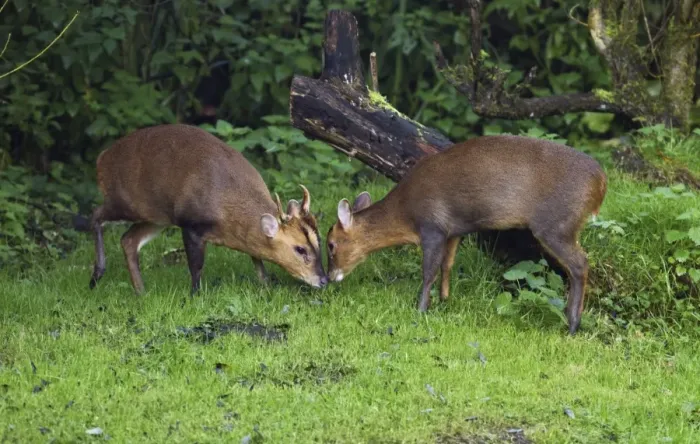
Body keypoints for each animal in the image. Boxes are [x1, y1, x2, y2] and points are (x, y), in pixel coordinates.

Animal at [87, 123, 328, 295]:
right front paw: (194, 296)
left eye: (319, 241)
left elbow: (257, 259)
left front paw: (266, 285)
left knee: (128, 240)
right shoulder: (191, 225)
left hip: (157, 217)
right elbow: (196, 268)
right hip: (125, 201)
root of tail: (101, 158)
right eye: (300, 249)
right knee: (95, 215)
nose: (324, 280)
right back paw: (96, 275)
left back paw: (141, 292)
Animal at [325, 135, 607, 335]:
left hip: (555, 225)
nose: (328, 278)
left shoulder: (433, 227)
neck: (405, 212)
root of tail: (601, 182)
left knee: (580, 265)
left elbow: (428, 271)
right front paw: (444, 300)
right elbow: (447, 265)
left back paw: (572, 324)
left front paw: (421, 309)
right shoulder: (454, 231)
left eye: (330, 244)